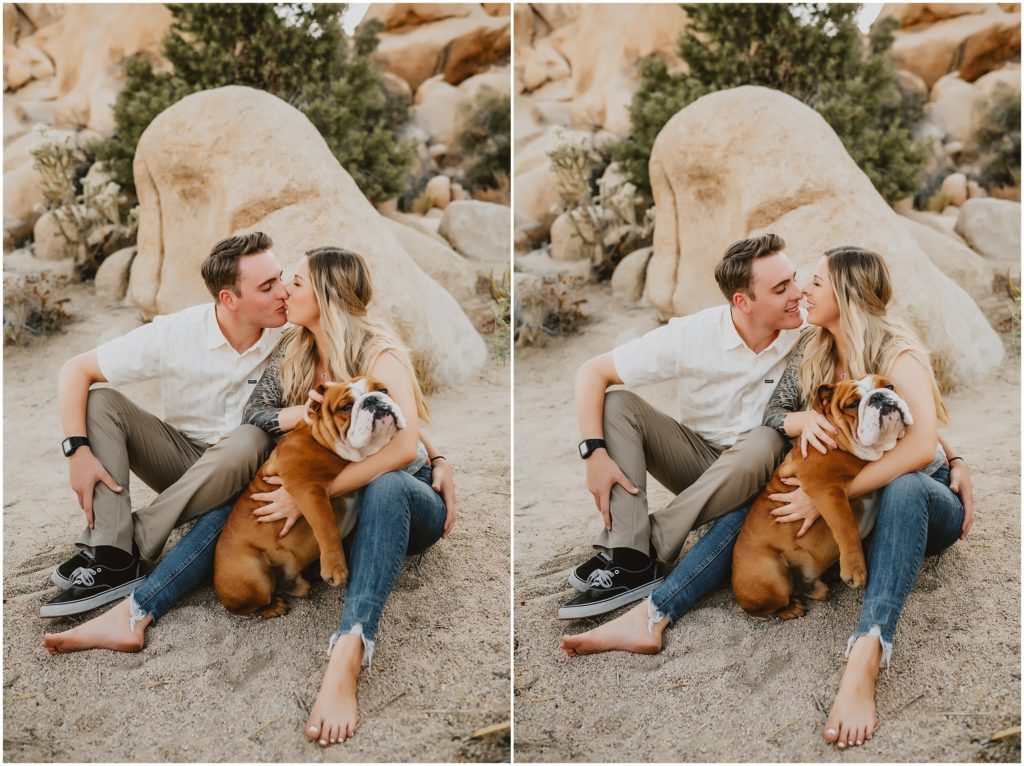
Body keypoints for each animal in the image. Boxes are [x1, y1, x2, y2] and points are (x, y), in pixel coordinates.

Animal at [212, 374, 403, 618]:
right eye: (345, 407)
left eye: (384, 390)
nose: (374, 400)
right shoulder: (307, 489)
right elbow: (327, 526)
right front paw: (335, 568)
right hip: (253, 576)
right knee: (251, 606)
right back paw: (274, 607)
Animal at [733, 376, 909, 622]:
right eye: (853, 404)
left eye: (889, 386)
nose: (880, 396)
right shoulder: (826, 490)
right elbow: (846, 527)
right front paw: (855, 568)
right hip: (771, 578)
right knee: (767, 608)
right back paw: (791, 609)